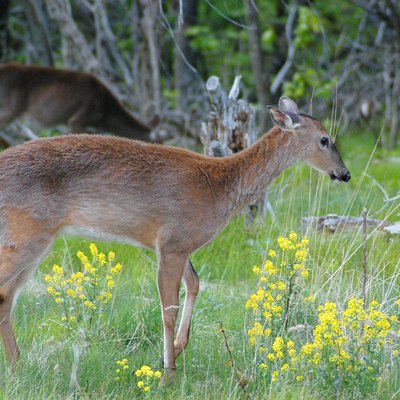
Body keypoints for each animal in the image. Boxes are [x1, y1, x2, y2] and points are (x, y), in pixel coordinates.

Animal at [0, 96, 350, 376]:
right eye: (324, 139)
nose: (344, 174)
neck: (220, 186)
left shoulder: (177, 245)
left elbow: (194, 284)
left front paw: (177, 350)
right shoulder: (172, 242)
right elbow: (168, 310)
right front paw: (167, 372)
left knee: (6, 297)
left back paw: (18, 366)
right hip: (28, 235)